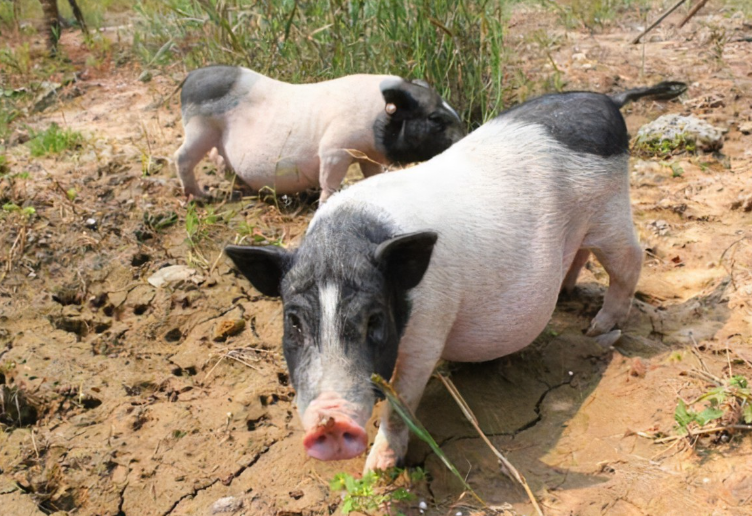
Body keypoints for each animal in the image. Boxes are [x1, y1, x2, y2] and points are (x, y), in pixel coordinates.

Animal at [175, 65, 464, 202]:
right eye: (435, 118)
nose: (463, 138)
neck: (377, 119)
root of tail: (190, 77)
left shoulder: (369, 156)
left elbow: (372, 174)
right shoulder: (335, 147)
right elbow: (330, 181)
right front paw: (326, 202)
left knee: (218, 157)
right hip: (199, 128)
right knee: (181, 157)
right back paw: (200, 197)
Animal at [223, 79, 688, 472]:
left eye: (375, 320)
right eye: (293, 321)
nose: (332, 421)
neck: (346, 239)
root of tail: (608, 99)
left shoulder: (430, 327)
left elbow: (401, 401)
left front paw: (378, 471)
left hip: (611, 210)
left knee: (631, 259)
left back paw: (598, 329)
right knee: (582, 253)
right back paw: (569, 292)